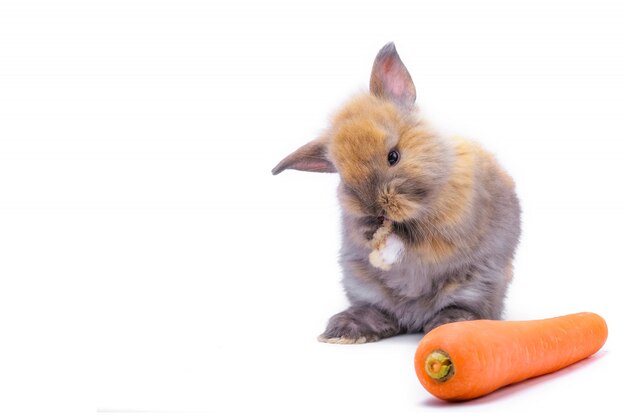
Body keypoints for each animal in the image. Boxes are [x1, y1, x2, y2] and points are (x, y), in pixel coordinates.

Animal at [270, 42, 520, 342]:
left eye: (393, 156)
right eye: (343, 176)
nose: (375, 209)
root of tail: (413, 318)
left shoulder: (453, 223)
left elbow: (421, 242)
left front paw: (390, 247)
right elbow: (361, 234)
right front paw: (371, 233)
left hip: (479, 285)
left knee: (466, 308)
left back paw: (449, 325)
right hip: (362, 285)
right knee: (384, 316)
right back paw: (345, 329)